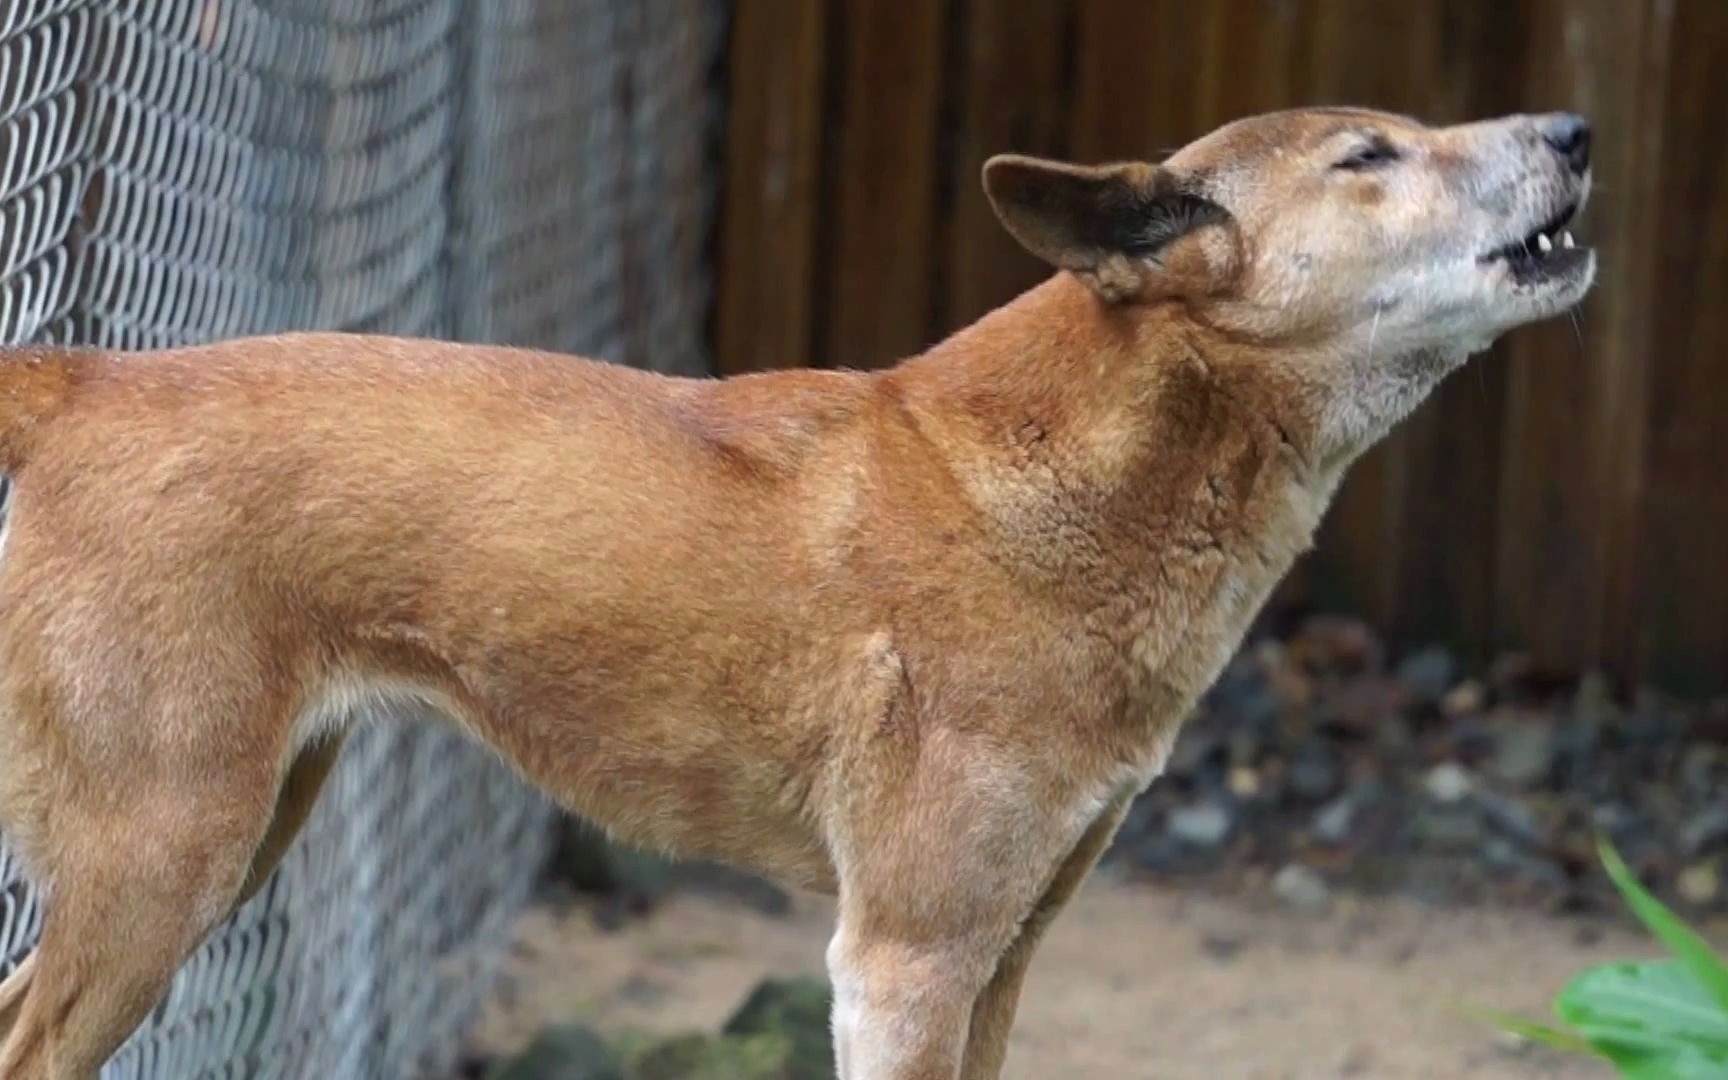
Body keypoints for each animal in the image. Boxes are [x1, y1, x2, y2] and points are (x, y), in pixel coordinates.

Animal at [0, 103, 1589, 1078]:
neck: (1073, 493)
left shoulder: (1006, 953)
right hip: (163, 860)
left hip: (239, 833)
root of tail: (89, 382)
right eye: (1370, 153)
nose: (1575, 130)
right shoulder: (905, 959)